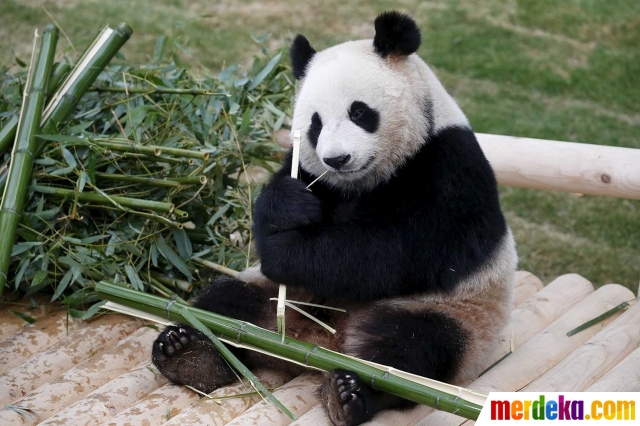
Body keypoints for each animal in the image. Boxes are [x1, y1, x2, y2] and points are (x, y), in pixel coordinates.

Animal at [152, 10, 517, 426]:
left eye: (359, 112)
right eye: (315, 123)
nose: (337, 159)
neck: (362, 182)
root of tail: (320, 343)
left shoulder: (448, 167)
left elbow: (393, 252)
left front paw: (287, 254)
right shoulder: (309, 171)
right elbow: (273, 210)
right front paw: (291, 206)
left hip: (455, 312)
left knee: (413, 348)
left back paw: (350, 393)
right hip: (271, 294)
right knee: (226, 305)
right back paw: (188, 353)